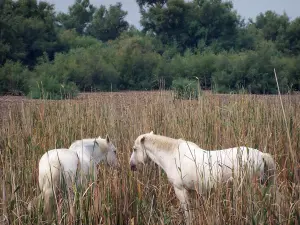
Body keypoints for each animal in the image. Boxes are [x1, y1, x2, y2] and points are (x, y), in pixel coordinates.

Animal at [129, 132, 276, 225]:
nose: (132, 166)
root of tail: (261, 155)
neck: (172, 155)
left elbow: (187, 212)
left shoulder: (180, 190)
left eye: (135, 149)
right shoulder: (191, 191)